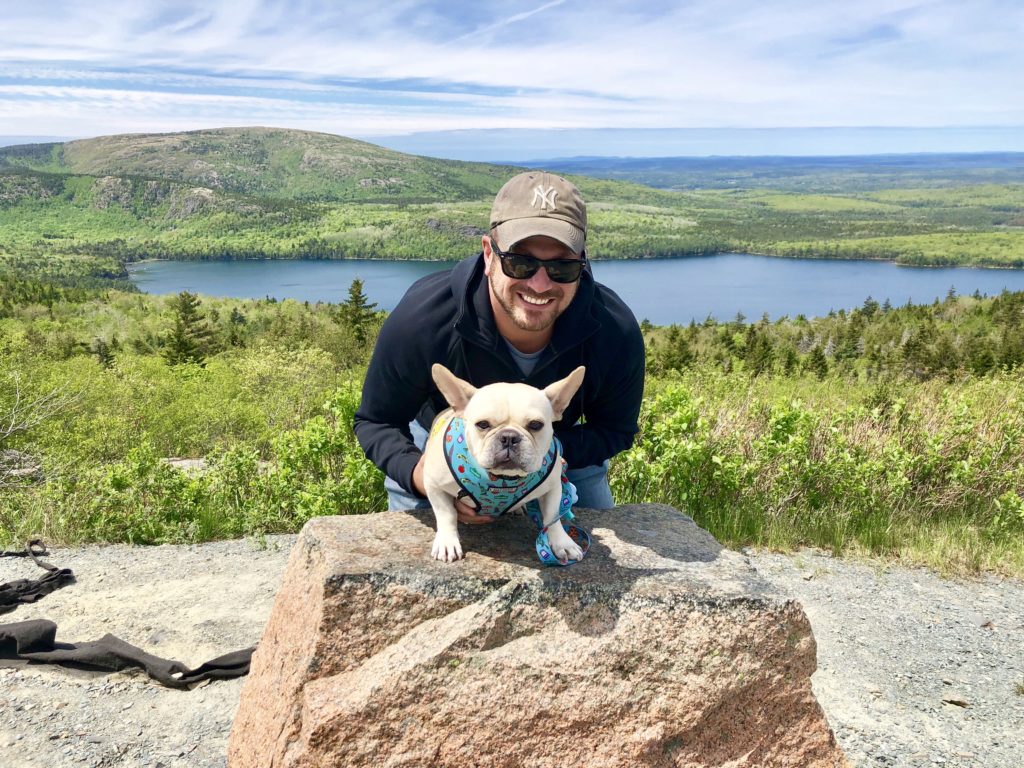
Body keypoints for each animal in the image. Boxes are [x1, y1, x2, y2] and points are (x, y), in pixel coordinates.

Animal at [421, 364, 585, 561]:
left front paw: (563, 543)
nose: (509, 437)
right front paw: (447, 542)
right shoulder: (433, 484)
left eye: (536, 425)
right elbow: (447, 513)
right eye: (482, 424)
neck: (503, 478)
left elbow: (553, 517)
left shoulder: (554, 488)